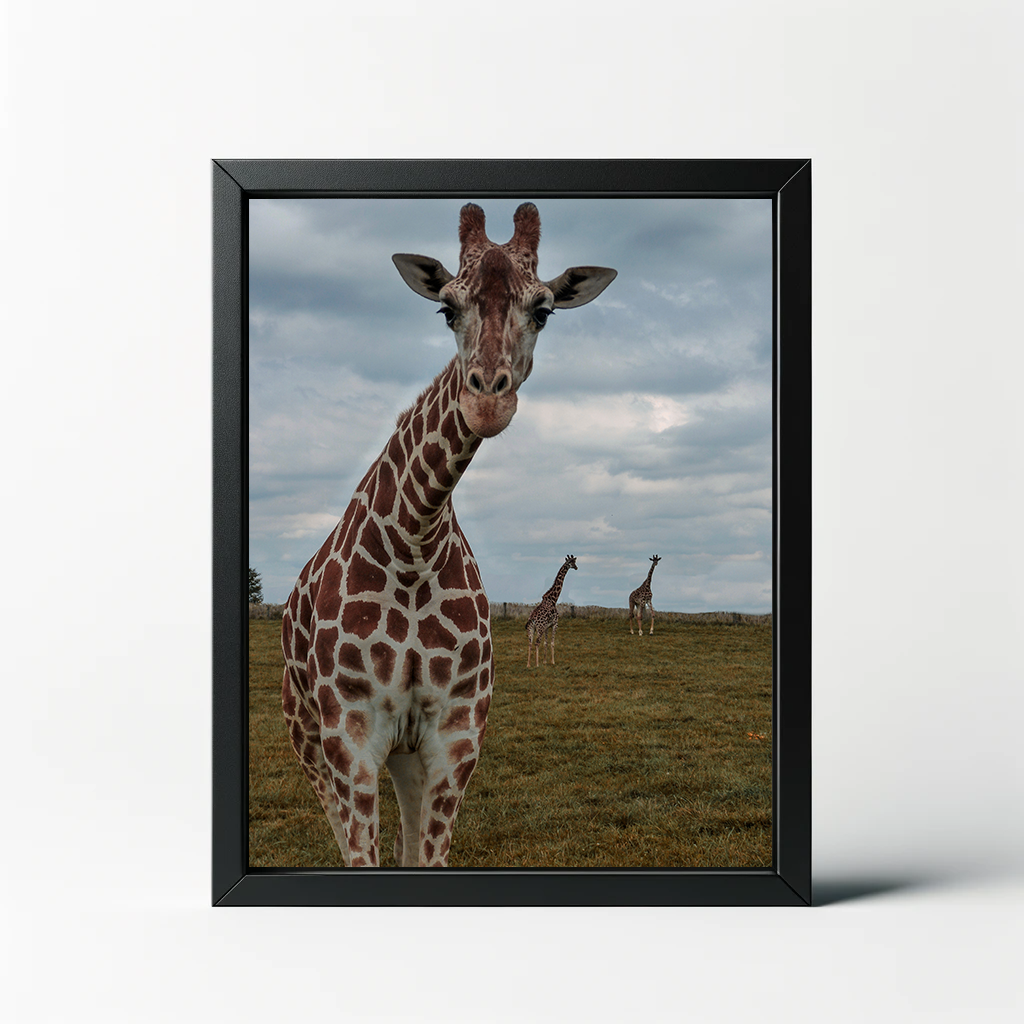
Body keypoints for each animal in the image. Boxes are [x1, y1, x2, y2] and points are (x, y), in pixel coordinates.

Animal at [280, 203, 616, 867]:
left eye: (544, 309)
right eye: (446, 308)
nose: (487, 400)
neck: (416, 537)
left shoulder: (454, 738)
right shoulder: (349, 739)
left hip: (403, 756)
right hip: (307, 740)